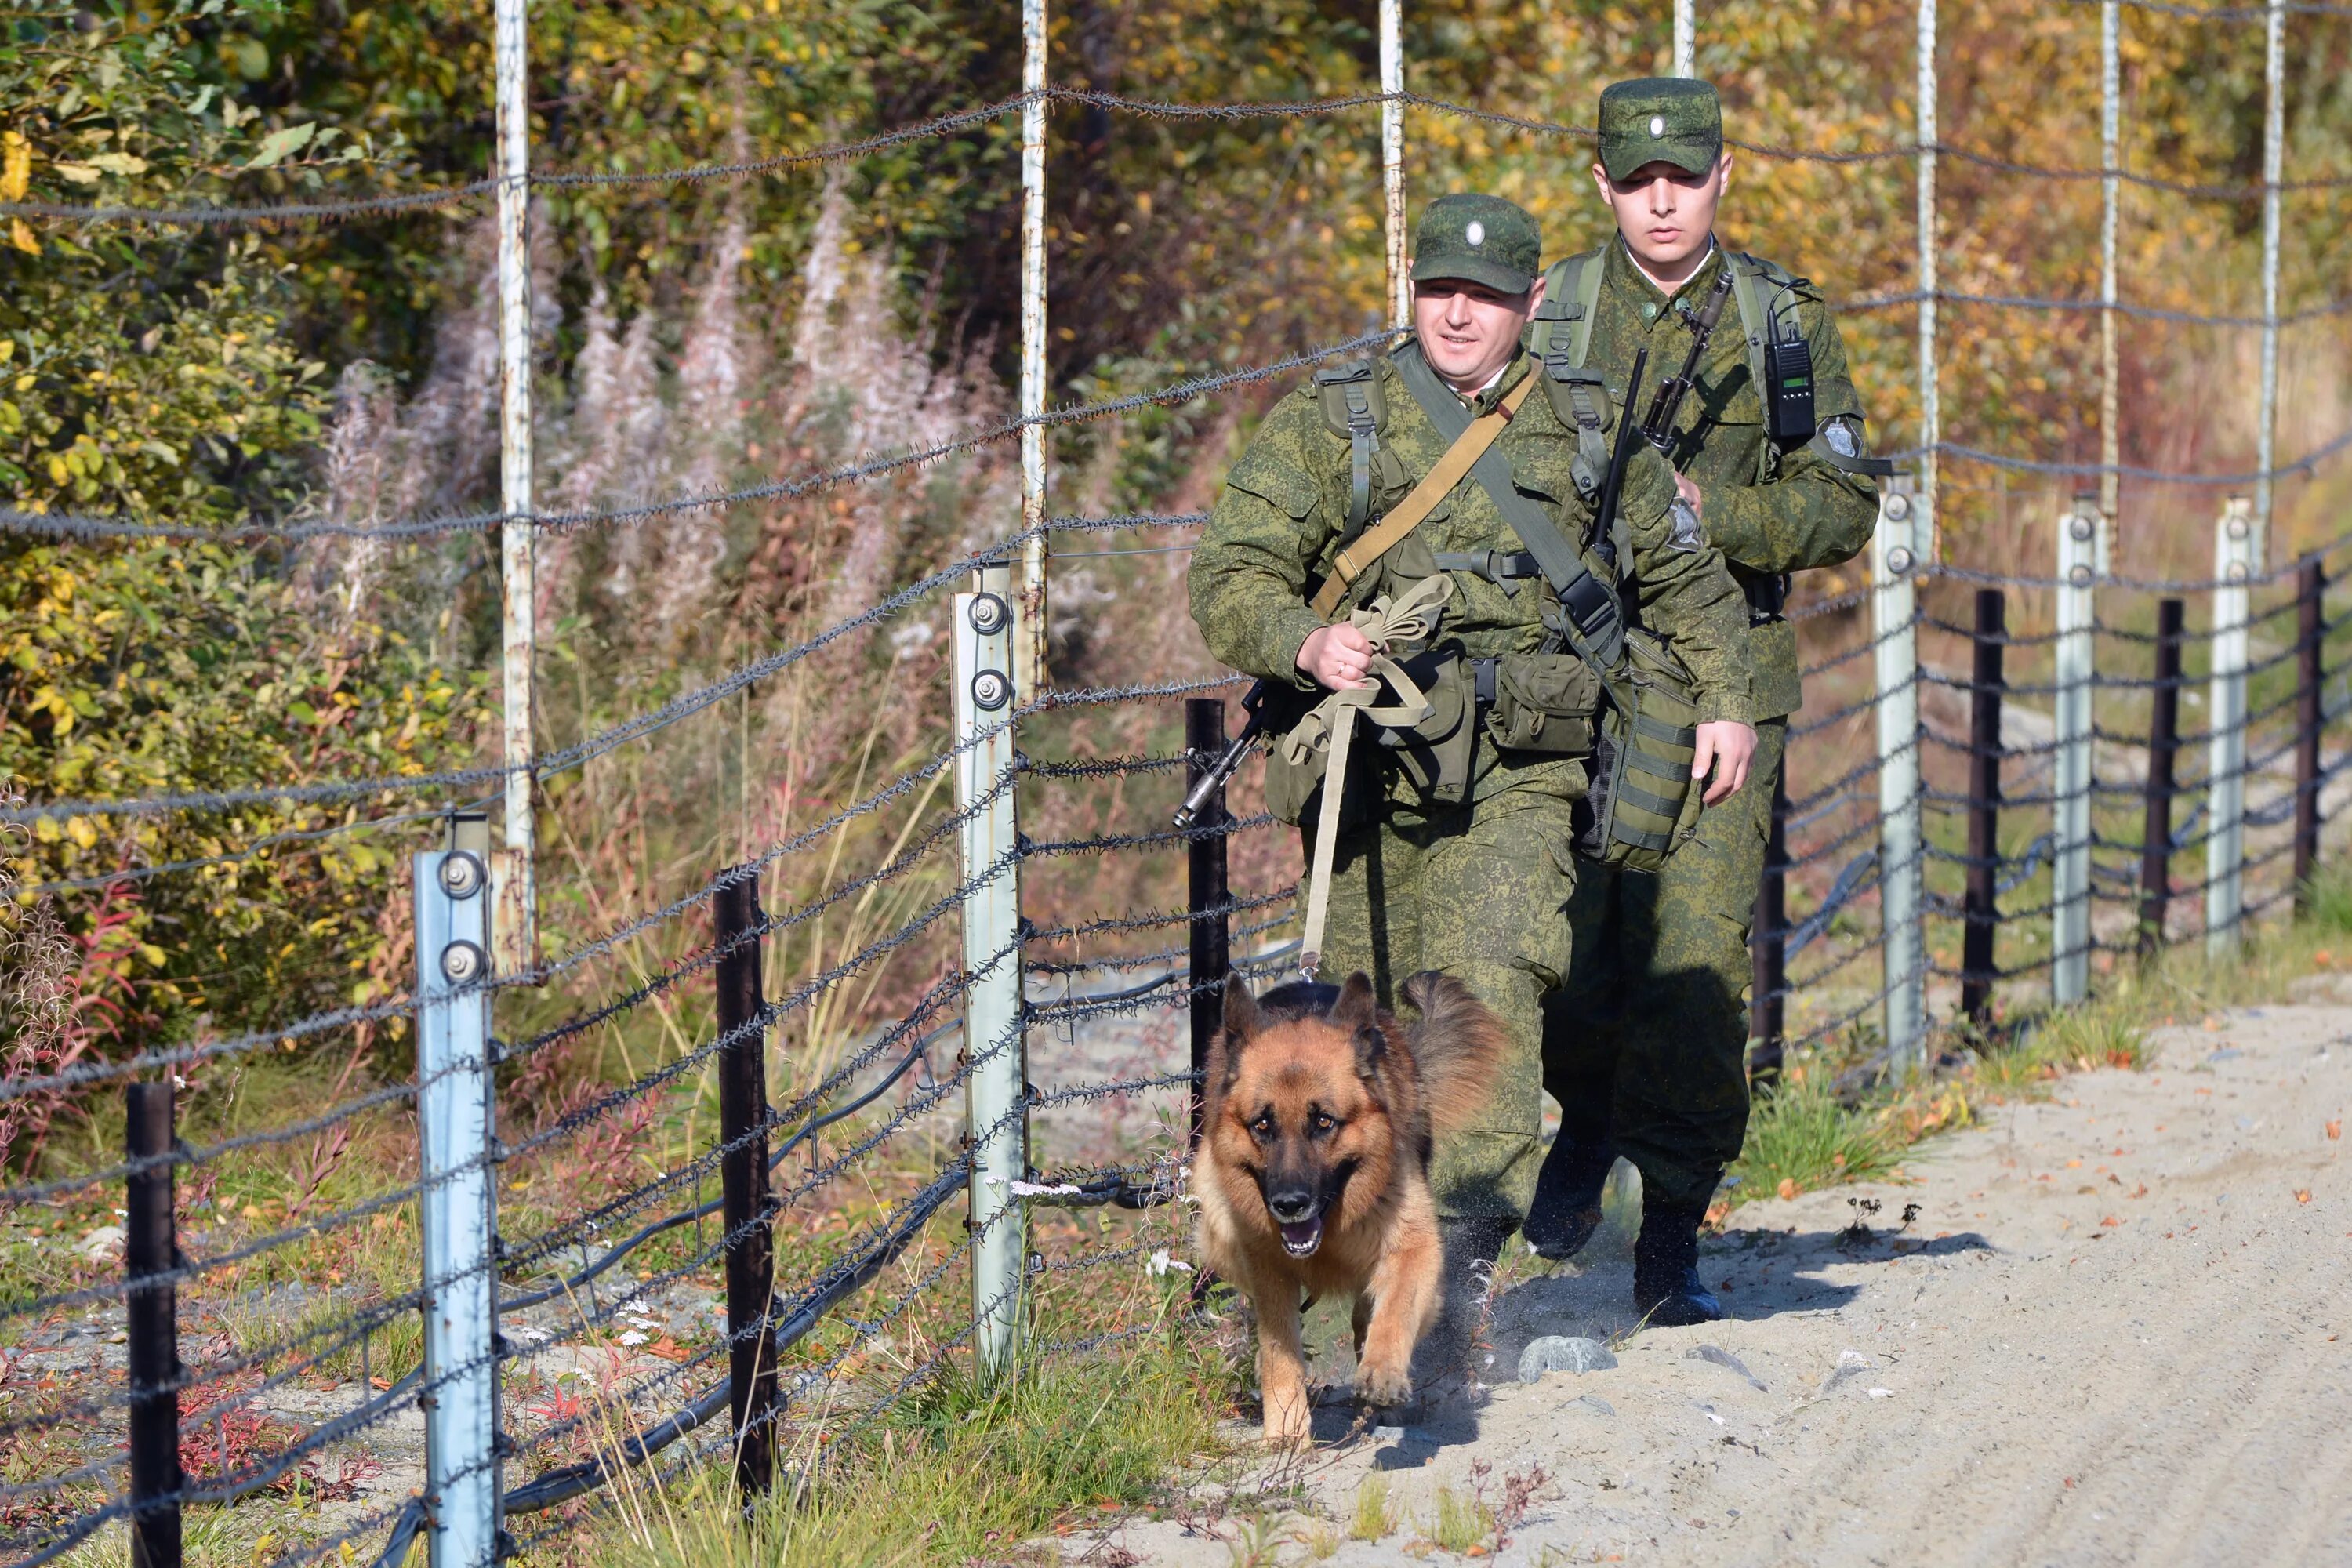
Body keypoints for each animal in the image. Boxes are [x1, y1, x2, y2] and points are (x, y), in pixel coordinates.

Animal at [1195, 968, 1505, 1448]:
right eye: (1262, 1125)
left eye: (1324, 1122)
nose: (1289, 1205)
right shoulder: (1269, 1271)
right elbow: (1280, 1348)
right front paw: (1286, 1430)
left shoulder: (1414, 1248)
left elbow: (1394, 1310)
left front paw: (1383, 1372)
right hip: (1215, 1209)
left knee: (1366, 1312)